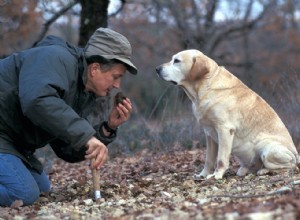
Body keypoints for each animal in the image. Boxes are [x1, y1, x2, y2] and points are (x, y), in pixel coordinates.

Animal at [156, 49, 298, 179]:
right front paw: (203, 175)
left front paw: (216, 175)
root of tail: (297, 155)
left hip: (266, 147)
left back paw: (264, 171)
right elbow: (209, 159)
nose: (157, 69)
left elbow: (221, 159)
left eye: (176, 61)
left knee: (290, 166)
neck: (204, 87)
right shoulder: (209, 133)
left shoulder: (224, 129)